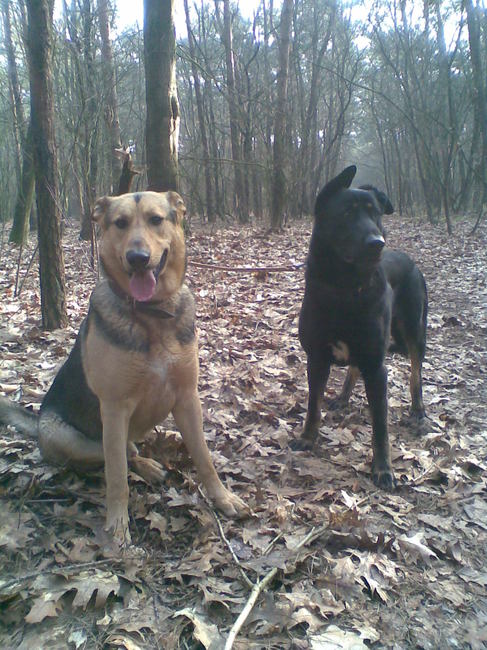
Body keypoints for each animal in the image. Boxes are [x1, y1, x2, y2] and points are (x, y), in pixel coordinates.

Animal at [0, 190, 246, 543]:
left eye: (156, 219)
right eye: (120, 223)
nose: (138, 258)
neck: (152, 313)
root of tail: (38, 425)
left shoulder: (188, 398)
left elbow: (204, 457)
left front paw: (223, 498)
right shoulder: (115, 408)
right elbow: (116, 474)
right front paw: (117, 526)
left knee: (131, 449)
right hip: (69, 438)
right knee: (116, 456)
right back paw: (144, 467)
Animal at [292, 165, 427, 488]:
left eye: (374, 213)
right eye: (345, 213)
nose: (377, 243)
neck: (345, 289)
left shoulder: (377, 367)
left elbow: (380, 425)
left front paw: (383, 469)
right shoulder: (316, 358)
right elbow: (313, 405)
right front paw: (308, 438)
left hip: (414, 331)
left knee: (416, 372)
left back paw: (417, 410)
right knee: (354, 367)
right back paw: (342, 397)